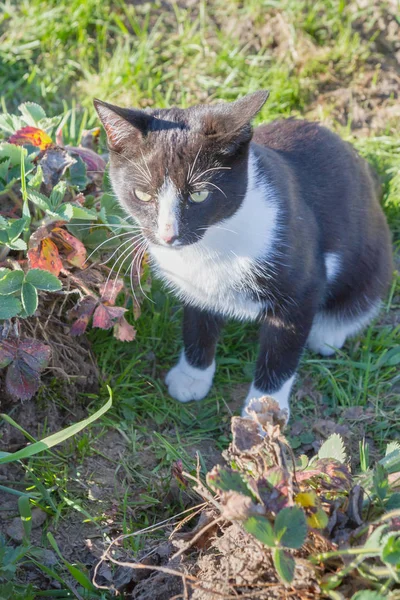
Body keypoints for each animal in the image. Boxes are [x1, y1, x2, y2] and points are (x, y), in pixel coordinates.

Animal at [94, 91, 394, 420]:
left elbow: (282, 349)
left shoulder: (303, 281)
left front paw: (265, 410)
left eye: (199, 194)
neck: (214, 238)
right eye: (143, 194)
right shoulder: (196, 284)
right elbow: (198, 323)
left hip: (372, 251)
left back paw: (329, 330)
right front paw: (192, 375)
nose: (168, 236)